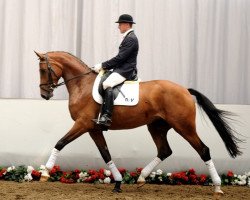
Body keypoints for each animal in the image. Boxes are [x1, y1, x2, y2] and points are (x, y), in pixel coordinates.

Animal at [34, 50, 242, 196]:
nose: (44, 94)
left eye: (43, 70)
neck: (82, 85)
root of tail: (185, 90)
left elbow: (60, 143)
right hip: (157, 126)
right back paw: (141, 178)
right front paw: (118, 182)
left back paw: (217, 188)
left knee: (203, 150)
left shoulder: (83, 124)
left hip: (184, 127)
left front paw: (45, 173)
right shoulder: (93, 128)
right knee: (164, 150)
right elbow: (105, 154)